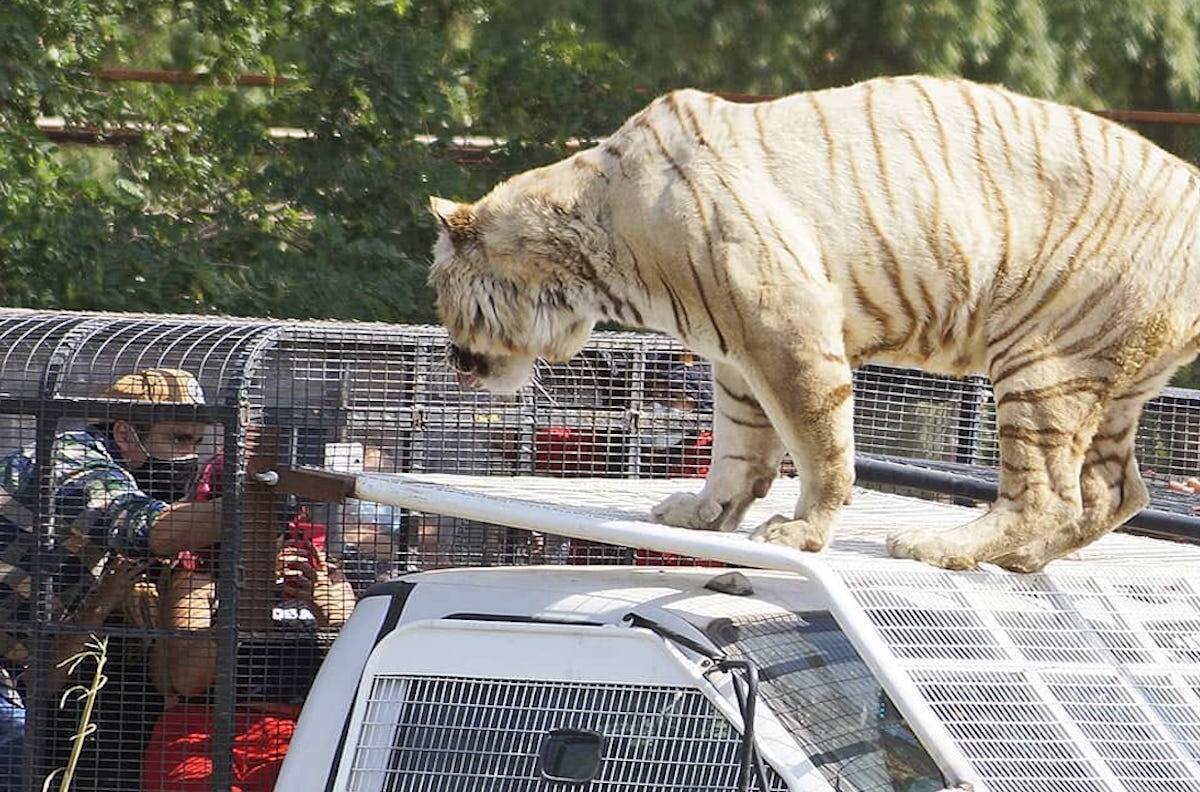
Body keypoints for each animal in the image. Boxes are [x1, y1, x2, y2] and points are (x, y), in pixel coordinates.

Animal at [427, 74, 1200, 572]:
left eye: (437, 288)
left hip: (1043, 361)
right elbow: (739, 447)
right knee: (1116, 491)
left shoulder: (787, 328)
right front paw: (703, 514)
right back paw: (1021, 562)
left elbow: (820, 444)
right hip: (1107, 379)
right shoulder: (734, 356)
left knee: (1049, 493)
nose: (454, 361)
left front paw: (800, 533)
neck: (592, 258)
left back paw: (942, 549)